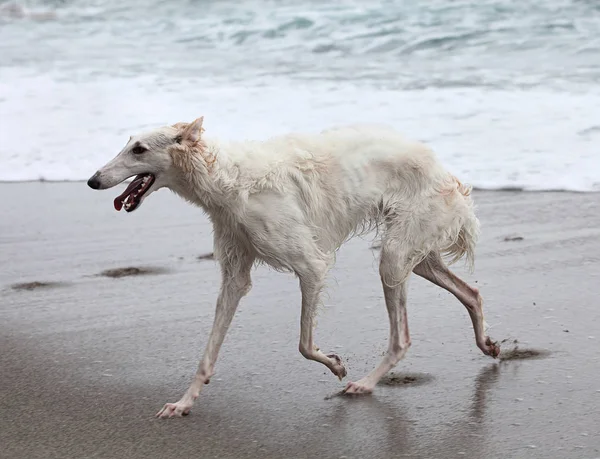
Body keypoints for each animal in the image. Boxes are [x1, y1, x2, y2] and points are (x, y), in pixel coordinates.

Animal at [88, 117, 502, 418]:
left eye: (139, 149)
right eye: (128, 142)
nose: (92, 180)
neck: (227, 181)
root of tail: (449, 176)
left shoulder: (311, 265)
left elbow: (303, 344)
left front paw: (335, 365)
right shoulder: (234, 276)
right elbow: (208, 352)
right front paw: (184, 402)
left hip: (395, 256)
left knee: (402, 338)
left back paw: (364, 383)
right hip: (414, 258)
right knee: (472, 292)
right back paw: (487, 344)